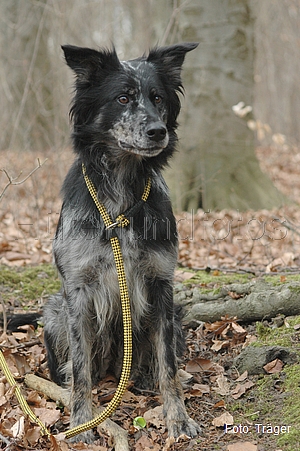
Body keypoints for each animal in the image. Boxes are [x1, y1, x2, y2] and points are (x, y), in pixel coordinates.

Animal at [42, 42, 199, 444]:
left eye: (157, 98)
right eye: (123, 98)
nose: (158, 131)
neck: (121, 195)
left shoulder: (161, 285)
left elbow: (168, 365)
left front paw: (178, 418)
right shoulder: (78, 291)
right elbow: (81, 369)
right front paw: (82, 421)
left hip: (175, 316)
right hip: (54, 313)